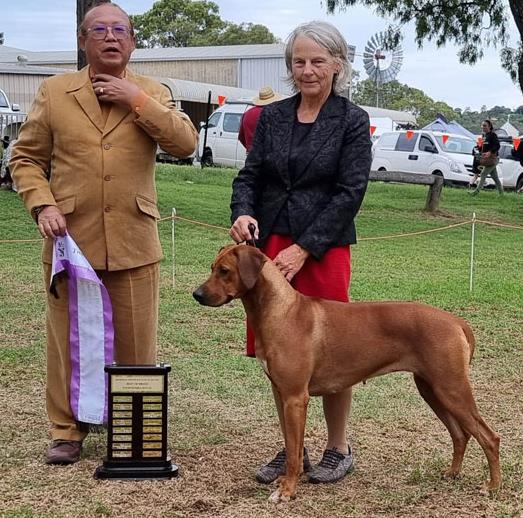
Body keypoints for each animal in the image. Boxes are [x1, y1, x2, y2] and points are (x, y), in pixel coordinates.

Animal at [193, 244, 501, 502]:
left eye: (224, 271)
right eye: (212, 267)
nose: (196, 294)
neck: (281, 310)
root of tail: (458, 322)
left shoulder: (295, 397)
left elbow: (294, 454)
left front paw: (288, 491)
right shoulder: (281, 393)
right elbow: (291, 446)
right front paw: (285, 482)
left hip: (452, 388)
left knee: (489, 437)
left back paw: (493, 486)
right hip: (431, 389)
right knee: (460, 435)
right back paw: (453, 473)